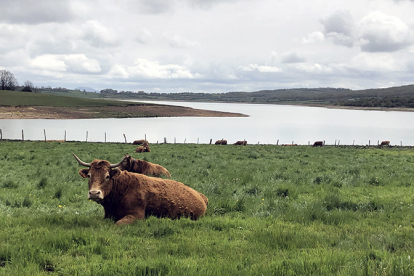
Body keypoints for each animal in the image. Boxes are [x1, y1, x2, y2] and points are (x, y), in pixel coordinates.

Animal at [73, 154, 209, 225]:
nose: (94, 193)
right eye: (89, 175)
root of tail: (201, 196)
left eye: (107, 176)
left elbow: (118, 223)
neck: (123, 188)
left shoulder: (137, 216)